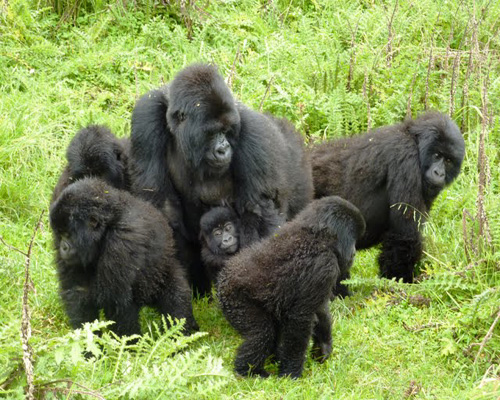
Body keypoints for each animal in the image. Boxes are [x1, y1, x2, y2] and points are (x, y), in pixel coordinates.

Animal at [50, 177, 199, 336]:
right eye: (60, 233)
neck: (107, 225)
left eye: (68, 234)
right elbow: (77, 291)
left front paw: (127, 342)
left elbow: (117, 305)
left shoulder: (122, 243)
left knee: (176, 297)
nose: (63, 247)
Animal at [129, 62, 312, 294]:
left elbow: (258, 212)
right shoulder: (147, 115)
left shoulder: (254, 133)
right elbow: (160, 203)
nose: (223, 149)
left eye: (227, 130)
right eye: (212, 133)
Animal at [217, 197, 366, 378]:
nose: (354, 252)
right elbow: (300, 318)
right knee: (261, 334)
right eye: (352, 237)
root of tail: (222, 277)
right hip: (234, 299)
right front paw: (291, 373)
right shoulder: (324, 265)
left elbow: (319, 309)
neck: (316, 234)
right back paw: (247, 371)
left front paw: (323, 347)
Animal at [310, 111, 466, 282]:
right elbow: (405, 235)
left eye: (448, 160)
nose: (439, 173)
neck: (413, 138)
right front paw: (399, 282)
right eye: (437, 155)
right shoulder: (406, 157)